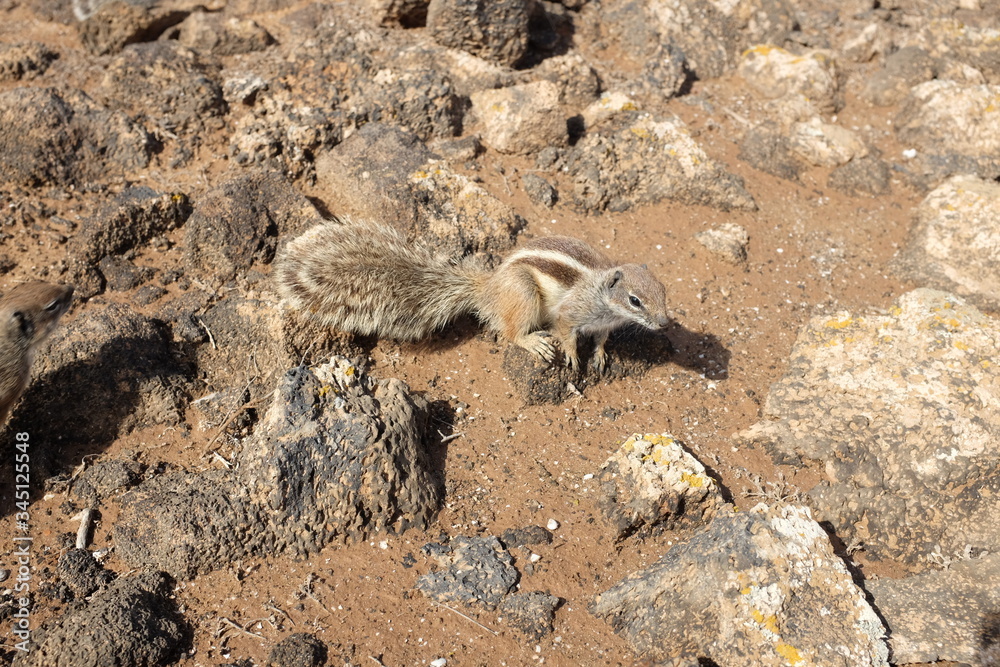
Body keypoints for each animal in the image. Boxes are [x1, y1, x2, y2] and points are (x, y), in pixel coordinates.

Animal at [276, 217, 669, 373]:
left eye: (664, 292)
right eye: (635, 300)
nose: (665, 324)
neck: (605, 301)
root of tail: (489, 289)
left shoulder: (606, 323)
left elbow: (602, 339)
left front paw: (600, 355)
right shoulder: (573, 311)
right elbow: (566, 331)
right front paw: (573, 356)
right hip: (523, 293)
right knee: (509, 332)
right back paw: (532, 342)